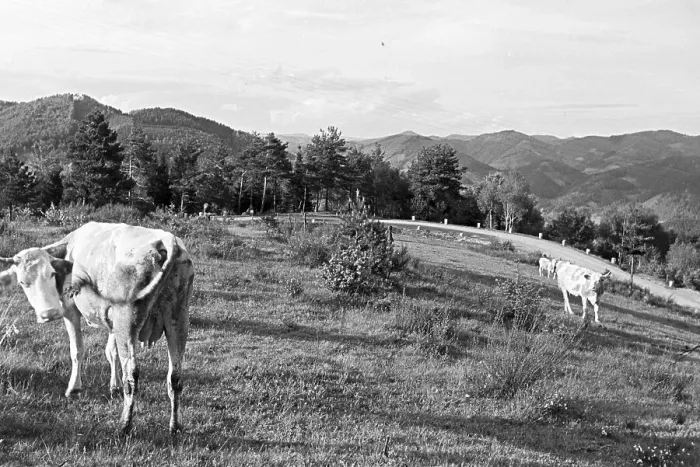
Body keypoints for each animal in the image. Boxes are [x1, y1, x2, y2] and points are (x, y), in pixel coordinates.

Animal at [0, 222, 194, 435]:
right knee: (175, 376)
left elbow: (77, 350)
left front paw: (74, 388)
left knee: (132, 375)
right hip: (178, 320)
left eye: (51, 274)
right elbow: (111, 352)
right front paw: (114, 386)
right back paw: (174, 426)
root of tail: (164, 239)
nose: (49, 313)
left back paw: (124, 425)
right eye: (23, 282)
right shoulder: (112, 323)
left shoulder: (70, 311)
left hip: (128, 321)